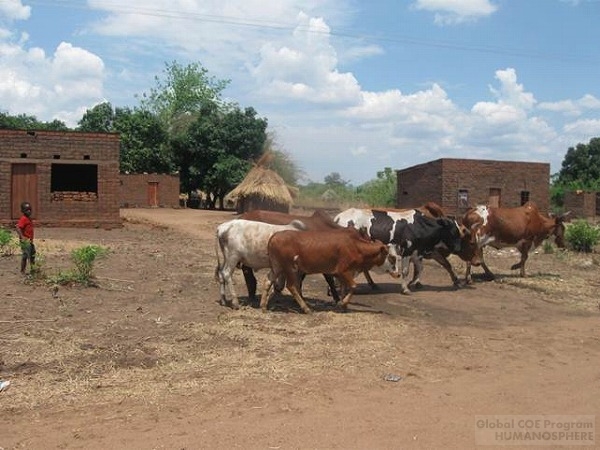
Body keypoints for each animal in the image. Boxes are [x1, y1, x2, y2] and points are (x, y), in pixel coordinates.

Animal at [258, 229, 392, 312]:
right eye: (387, 253)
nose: (392, 268)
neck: (356, 246)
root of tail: (274, 236)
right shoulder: (343, 271)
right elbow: (353, 286)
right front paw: (344, 303)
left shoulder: (341, 274)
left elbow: (343, 288)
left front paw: (342, 305)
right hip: (290, 268)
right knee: (291, 286)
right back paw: (306, 309)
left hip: (277, 267)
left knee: (268, 281)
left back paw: (263, 306)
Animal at [336, 208, 466, 294]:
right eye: (453, 231)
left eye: (459, 231)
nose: (458, 249)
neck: (419, 226)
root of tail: (339, 216)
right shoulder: (407, 251)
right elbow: (406, 271)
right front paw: (405, 288)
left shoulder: (417, 253)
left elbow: (420, 269)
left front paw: (412, 283)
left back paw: (372, 285)